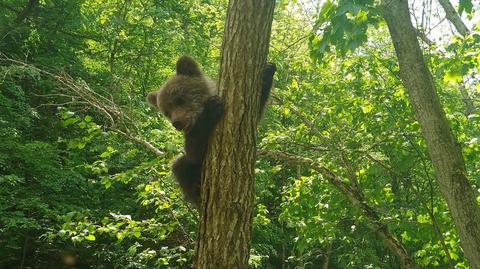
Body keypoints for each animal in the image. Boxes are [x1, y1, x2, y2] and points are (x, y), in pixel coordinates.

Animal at [146, 54, 276, 205]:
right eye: (167, 112)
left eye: (179, 99)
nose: (177, 123)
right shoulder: (192, 138)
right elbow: (195, 151)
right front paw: (212, 108)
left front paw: (268, 70)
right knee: (180, 165)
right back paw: (195, 189)